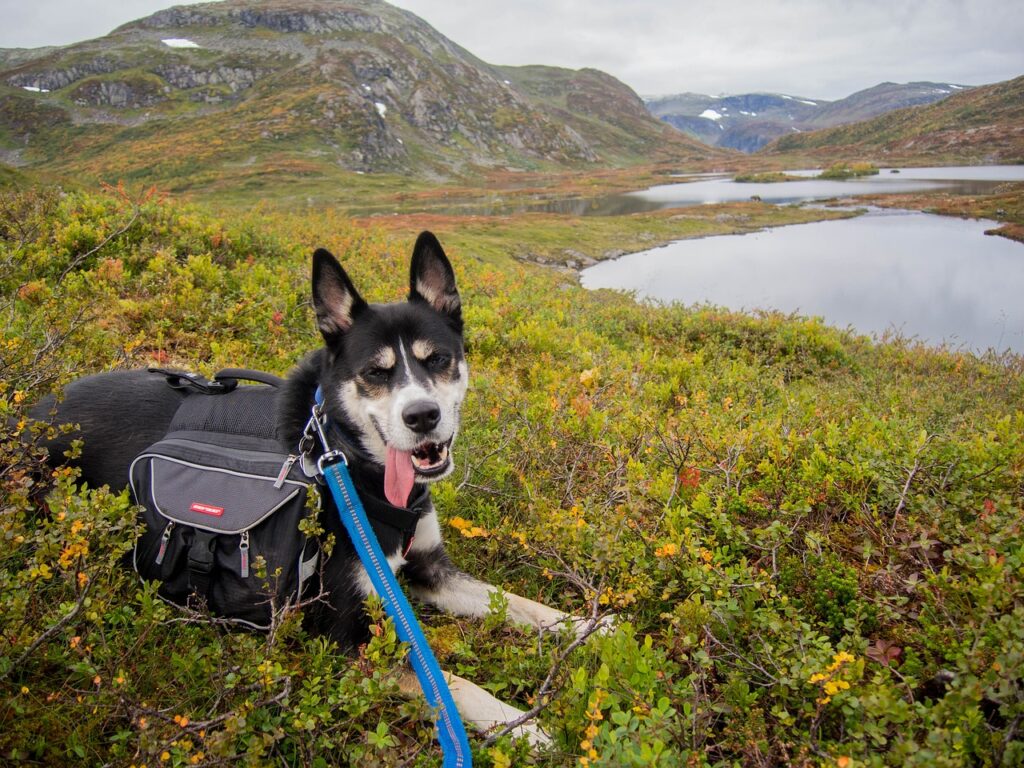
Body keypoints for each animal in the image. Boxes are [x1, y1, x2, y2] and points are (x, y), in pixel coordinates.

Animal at [29, 233, 585, 745]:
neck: (347, 459)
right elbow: (450, 683)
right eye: (374, 372)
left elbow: (518, 603)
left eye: (438, 359)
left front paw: (587, 627)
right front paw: (524, 726)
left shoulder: (430, 570)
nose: (422, 416)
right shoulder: (349, 635)